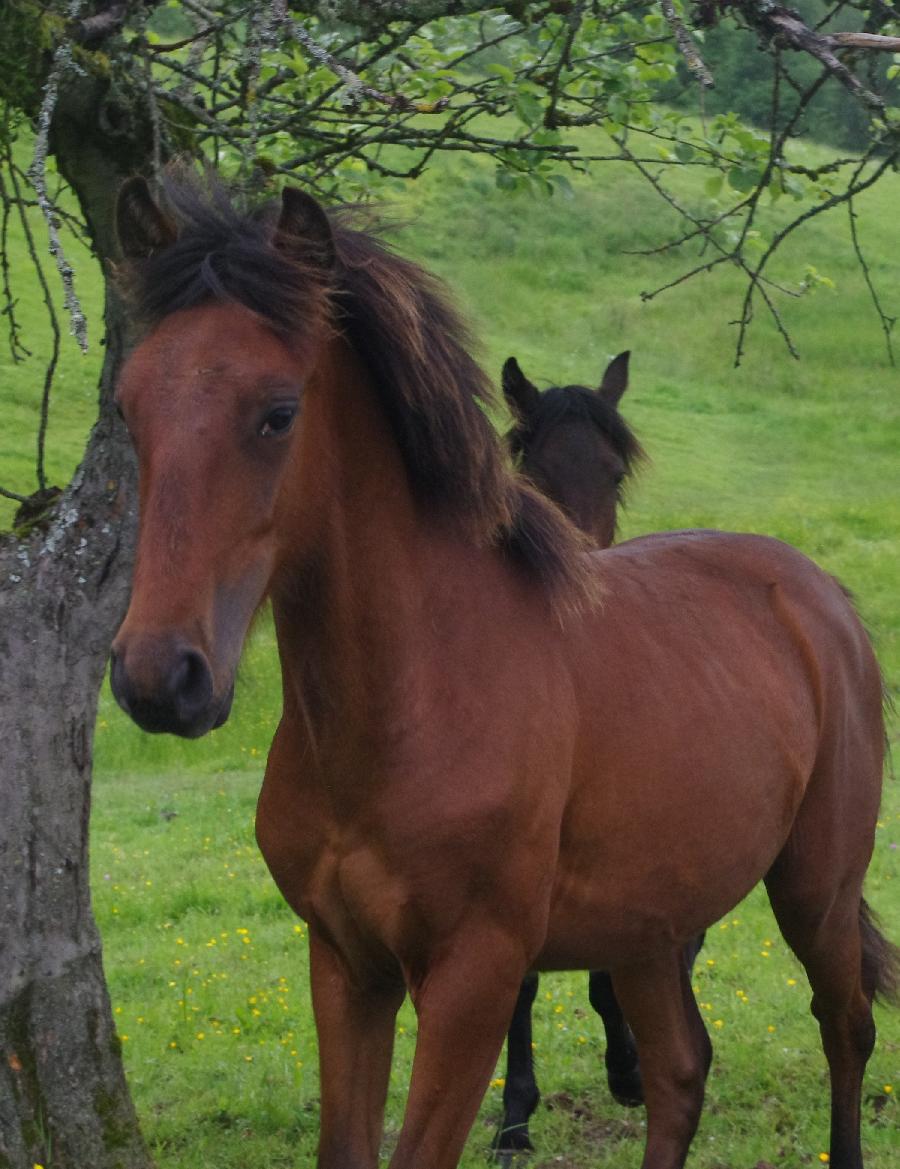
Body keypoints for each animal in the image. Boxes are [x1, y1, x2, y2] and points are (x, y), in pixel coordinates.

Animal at [110, 170, 888, 1169]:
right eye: (129, 409)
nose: (159, 677)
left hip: (815, 889)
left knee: (846, 1026)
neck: (415, 699)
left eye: (278, 412)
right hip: (650, 924)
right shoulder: (345, 964)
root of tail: (822, 597)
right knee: (679, 1071)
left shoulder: (473, 976)